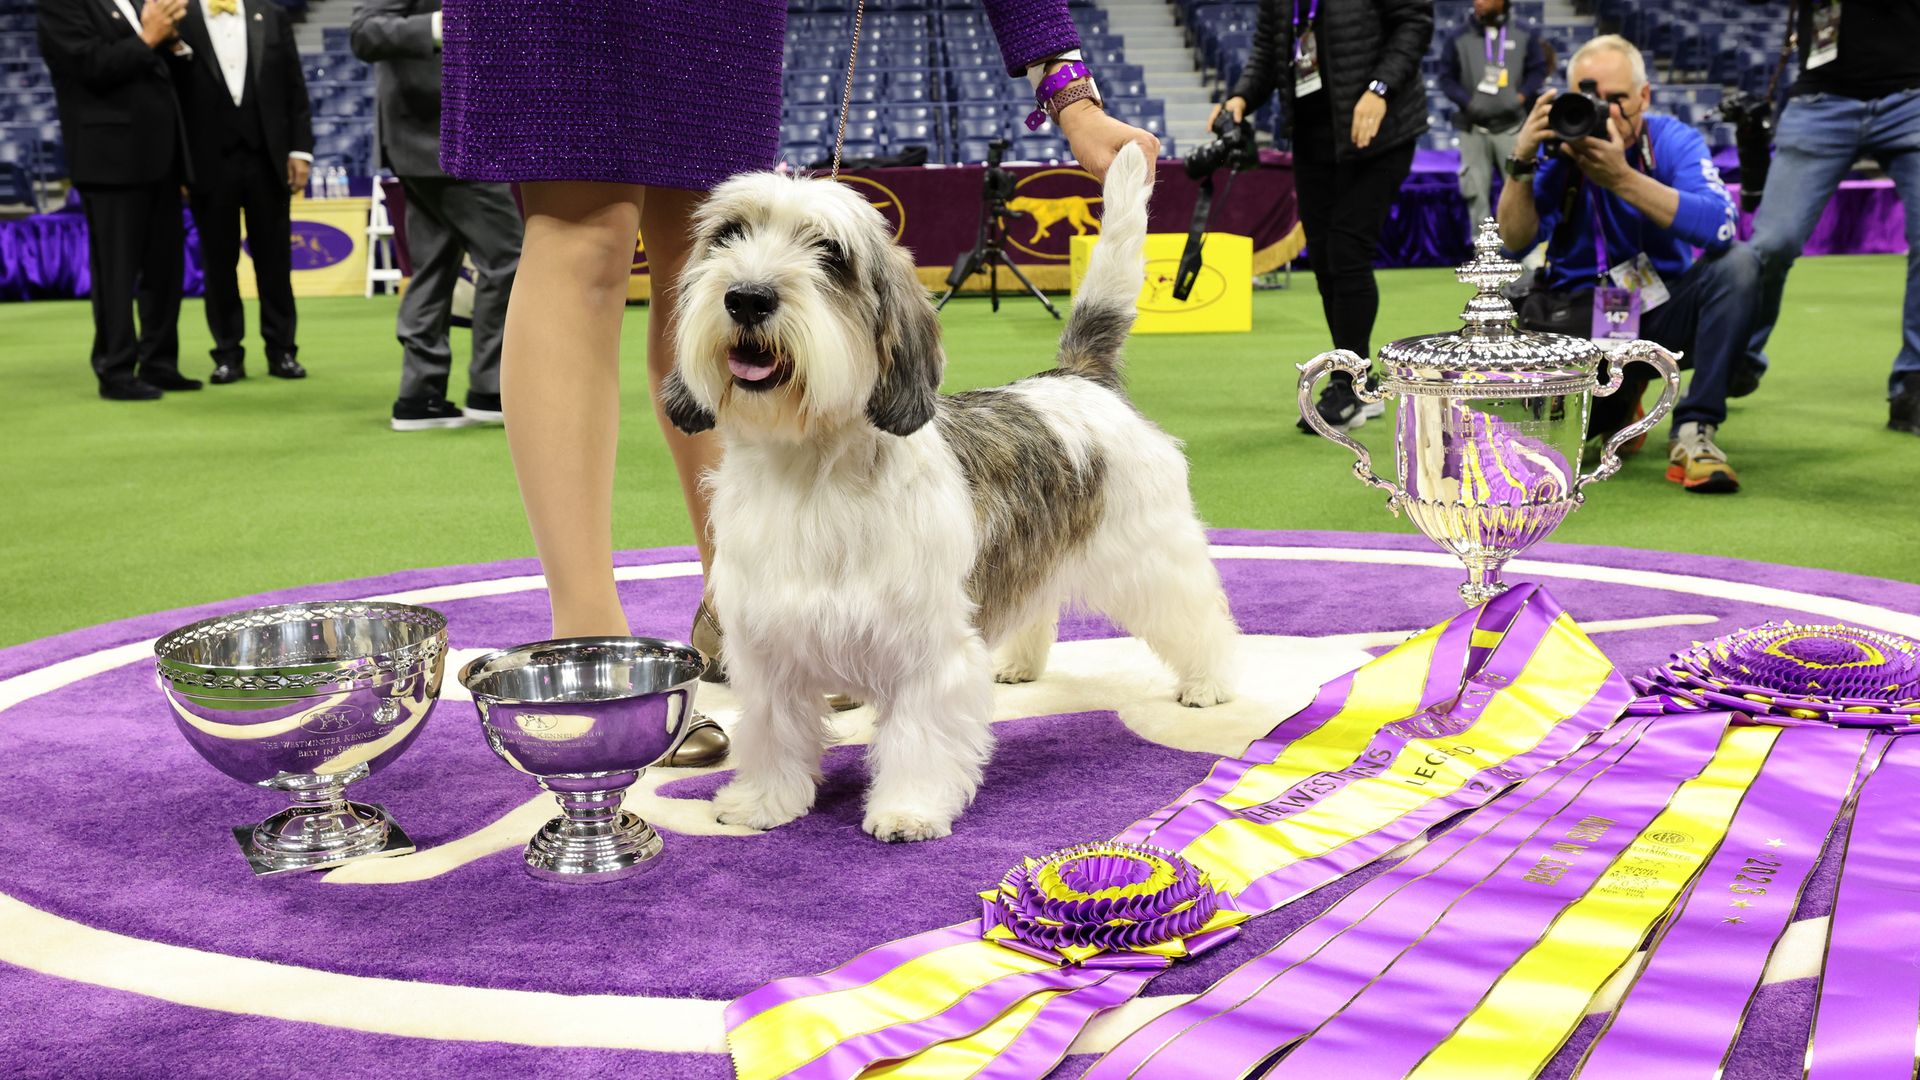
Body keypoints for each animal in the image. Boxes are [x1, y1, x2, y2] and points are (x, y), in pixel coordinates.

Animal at [668, 143, 1236, 837]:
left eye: (830, 254)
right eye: (729, 235)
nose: (747, 297)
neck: (814, 473)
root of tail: (1077, 376)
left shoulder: (926, 647)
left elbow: (919, 735)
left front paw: (907, 809)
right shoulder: (769, 643)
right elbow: (774, 730)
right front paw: (764, 801)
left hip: (1153, 554)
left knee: (1197, 613)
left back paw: (1208, 681)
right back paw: (1021, 662)